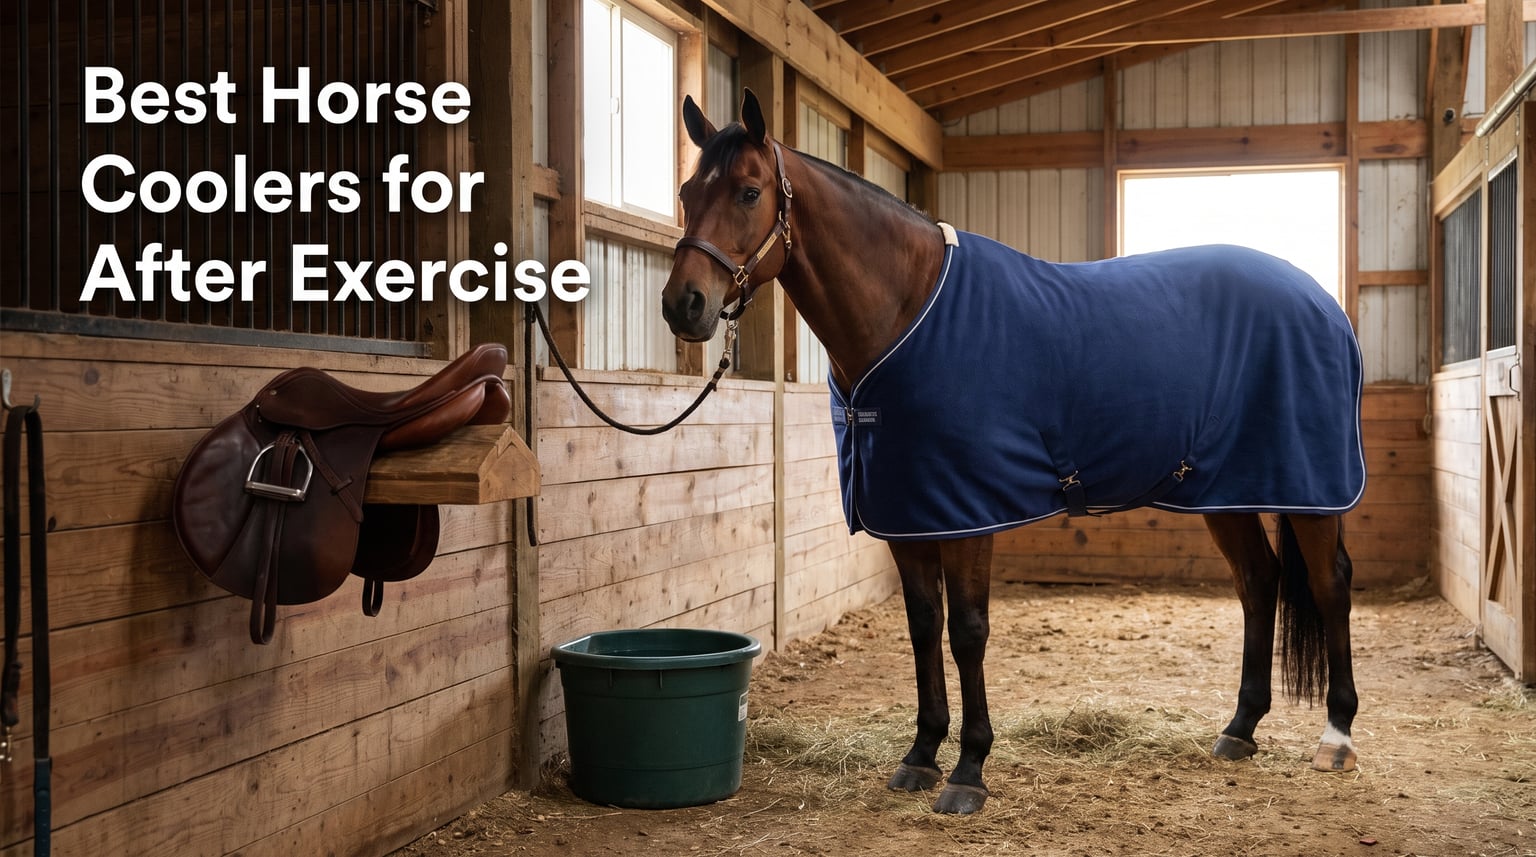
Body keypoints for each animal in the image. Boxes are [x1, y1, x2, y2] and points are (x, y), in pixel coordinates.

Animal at [661, 89, 1364, 815]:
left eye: (748, 192)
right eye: (687, 192)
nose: (684, 304)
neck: (908, 312)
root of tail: (1322, 302)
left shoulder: (968, 513)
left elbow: (968, 631)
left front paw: (969, 769)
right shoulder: (909, 513)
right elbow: (923, 627)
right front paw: (921, 754)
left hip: (1310, 489)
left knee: (1330, 584)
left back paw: (1336, 735)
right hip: (1227, 489)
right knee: (1258, 582)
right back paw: (1240, 727)